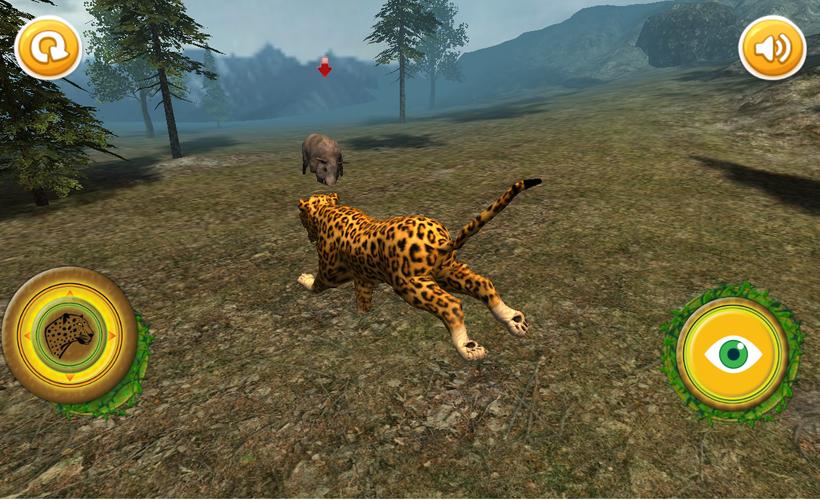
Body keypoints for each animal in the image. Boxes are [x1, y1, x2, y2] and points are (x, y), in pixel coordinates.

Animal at [297, 178, 542, 361]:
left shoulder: (330, 273)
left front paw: (304, 278)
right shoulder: (364, 280)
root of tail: (440, 239)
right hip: (447, 272)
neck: (327, 209)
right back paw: (513, 319)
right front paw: (363, 315)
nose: (308, 236)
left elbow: (317, 285)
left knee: (452, 306)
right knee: (484, 284)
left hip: (413, 286)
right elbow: (363, 302)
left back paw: (467, 347)